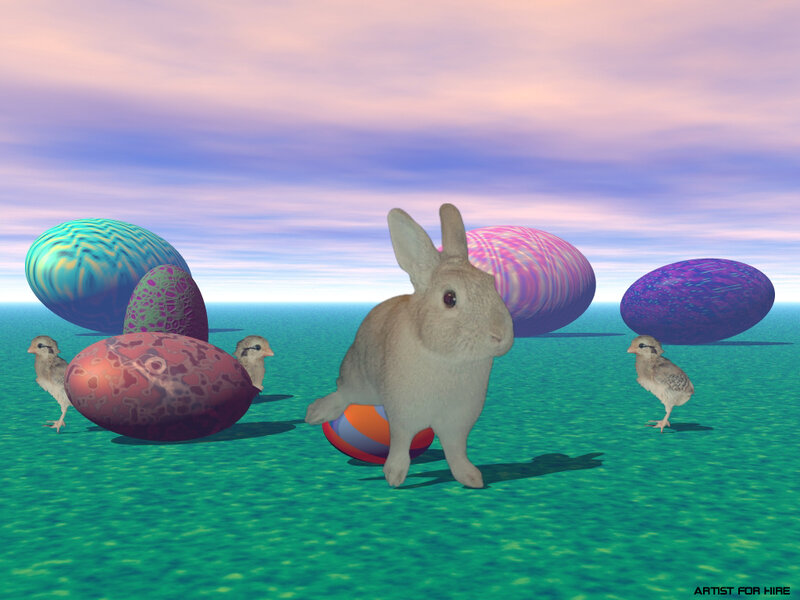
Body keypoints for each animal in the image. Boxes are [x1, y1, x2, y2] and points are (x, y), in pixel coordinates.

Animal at [305, 203, 514, 488]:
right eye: (450, 298)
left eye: (490, 282)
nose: (500, 335)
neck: (448, 359)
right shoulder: (402, 415)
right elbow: (401, 444)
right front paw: (394, 476)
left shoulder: (457, 422)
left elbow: (456, 451)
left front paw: (471, 477)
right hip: (360, 382)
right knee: (343, 393)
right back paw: (316, 412)